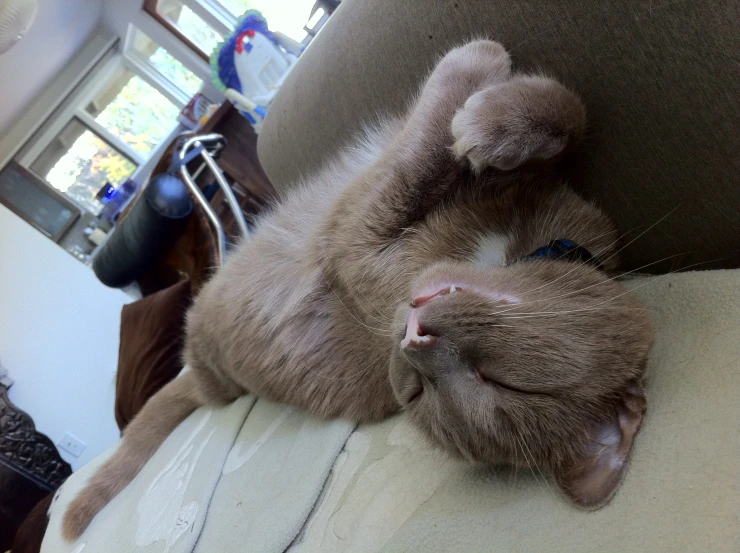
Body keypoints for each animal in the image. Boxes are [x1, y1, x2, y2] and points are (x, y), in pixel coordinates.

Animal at [62, 40, 652, 540]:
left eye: (496, 383)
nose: (415, 340)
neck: (510, 243)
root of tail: (211, 386)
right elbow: (569, 110)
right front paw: (495, 113)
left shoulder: (361, 238)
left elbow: (421, 149)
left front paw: (473, 79)